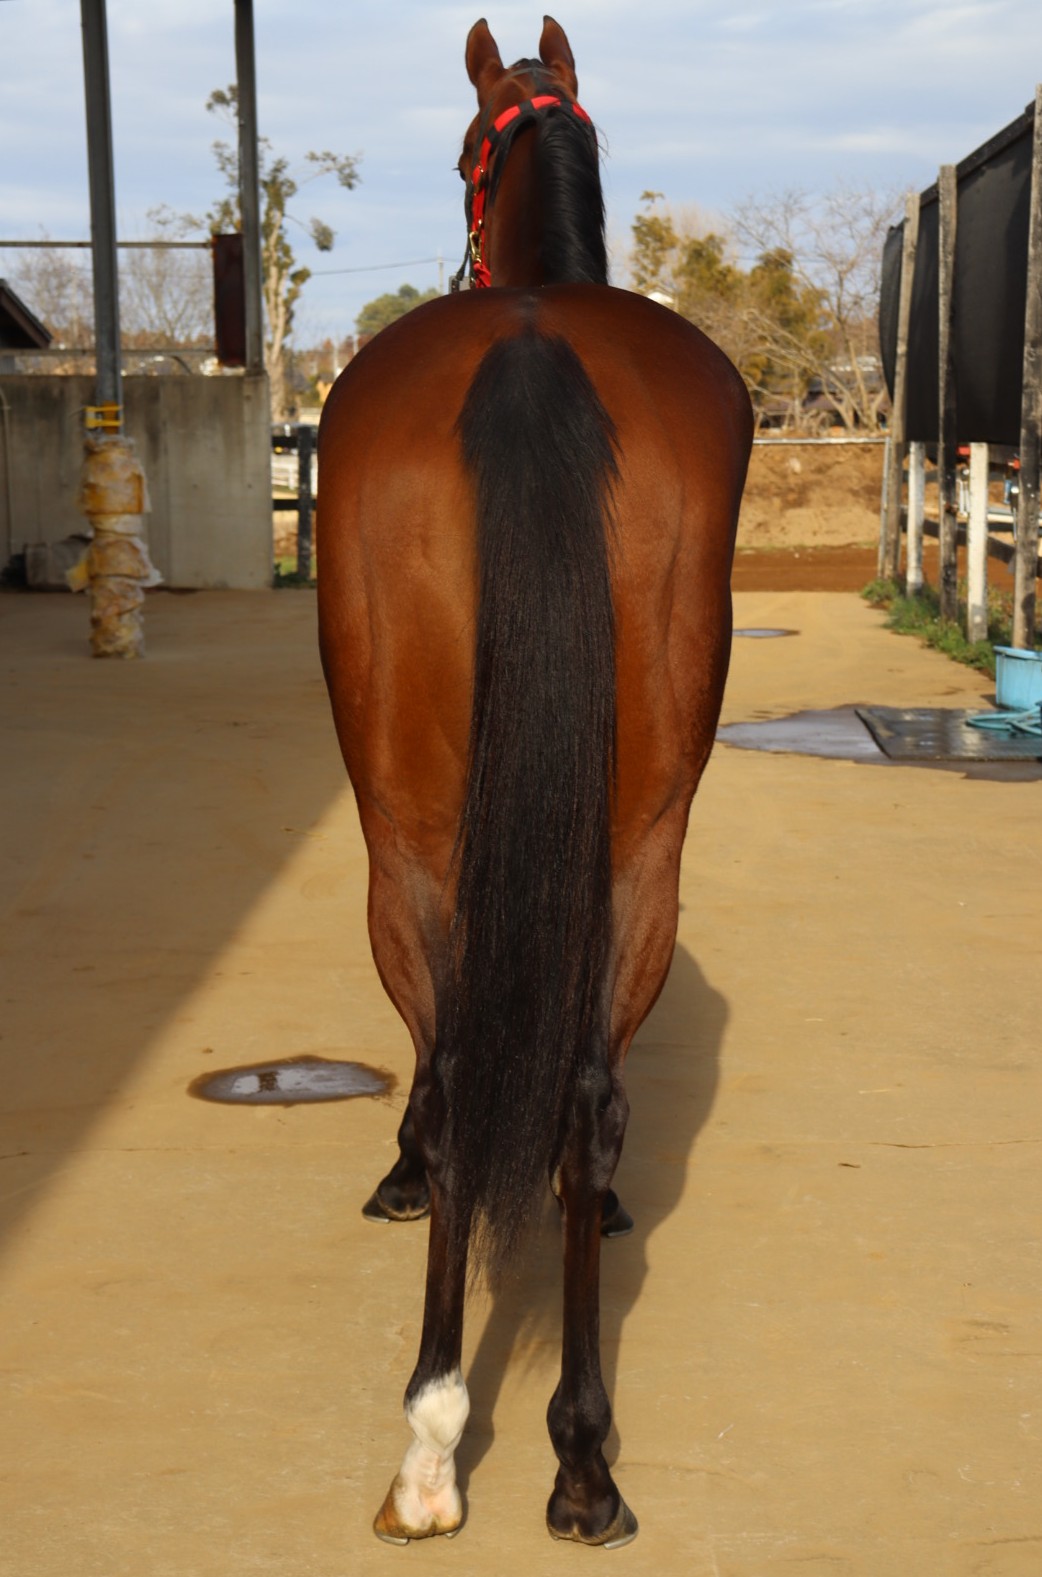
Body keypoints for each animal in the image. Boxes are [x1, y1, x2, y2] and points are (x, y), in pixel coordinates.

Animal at [317, 16, 752, 1549]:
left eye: (463, 151)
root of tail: (525, 349)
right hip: (642, 842)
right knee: (579, 1101)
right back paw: (578, 1460)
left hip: (407, 841)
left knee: (458, 1084)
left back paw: (433, 1446)